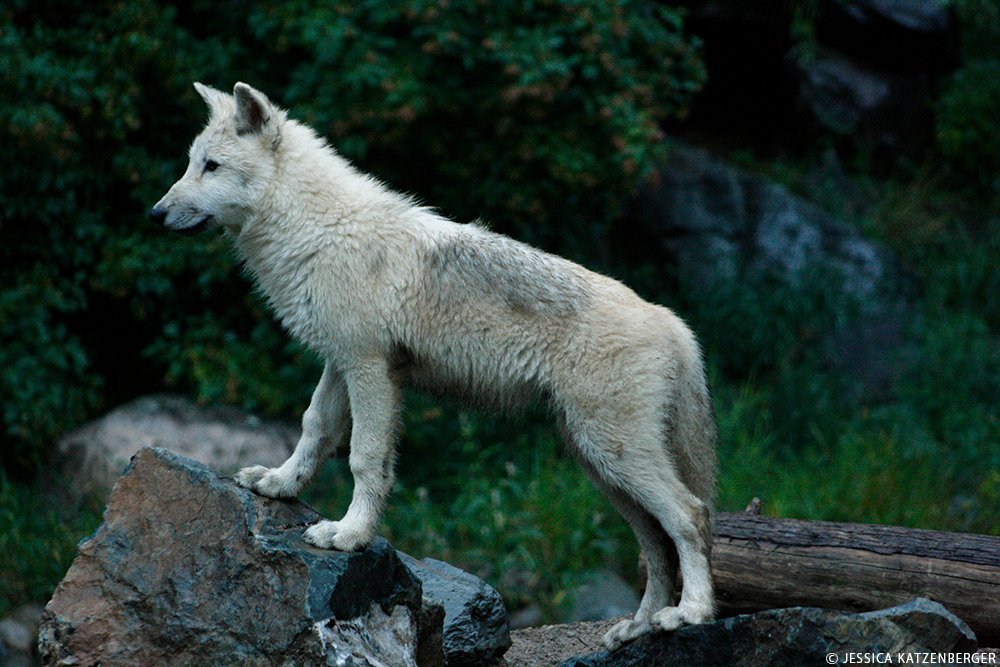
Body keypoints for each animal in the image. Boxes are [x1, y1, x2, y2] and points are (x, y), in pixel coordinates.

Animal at [148, 82, 720, 648]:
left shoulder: (369, 369)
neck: (319, 229)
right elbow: (314, 429)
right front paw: (280, 484)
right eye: (192, 163)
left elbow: (363, 458)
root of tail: (672, 321)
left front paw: (349, 535)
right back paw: (639, 626)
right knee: (655, 546)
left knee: (692, 517)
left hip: (613, 454)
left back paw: (689, 614)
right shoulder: (339, 363)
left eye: (212, 166)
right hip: (600, 465)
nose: (154, 213)